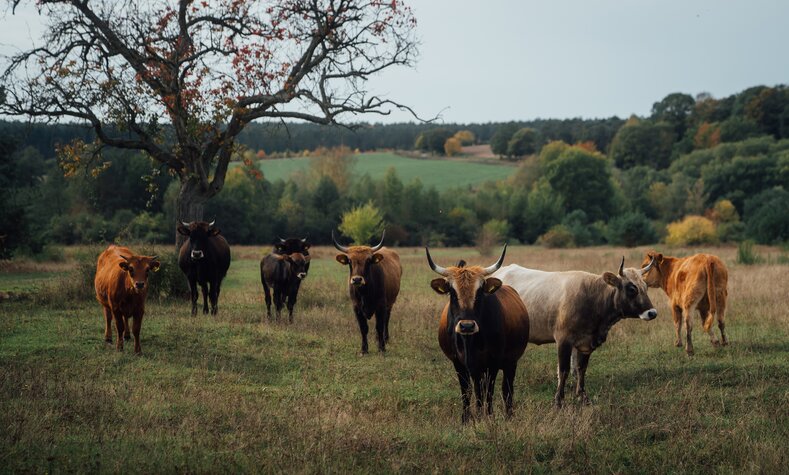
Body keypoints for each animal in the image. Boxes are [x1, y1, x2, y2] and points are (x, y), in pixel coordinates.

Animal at [424, 245, 528, 424]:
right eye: (452, 293)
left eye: (479, 293)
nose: (467, 326)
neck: (470, 341)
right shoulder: (459, 364)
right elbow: (467, 391)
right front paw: (467, 419)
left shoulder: (493, 363)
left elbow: (489, 391)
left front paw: (487, 416)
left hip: (510, 362)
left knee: (506, 389)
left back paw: (509, 415)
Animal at [496, 258, 656, 408]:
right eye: (631, 289)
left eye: (646, 287)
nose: (652, 313)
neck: (593, 297)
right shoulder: (563, 341)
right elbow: (563, 371)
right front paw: (558, 401)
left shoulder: (585, 344)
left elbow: (581, 369)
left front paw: (583, 397)